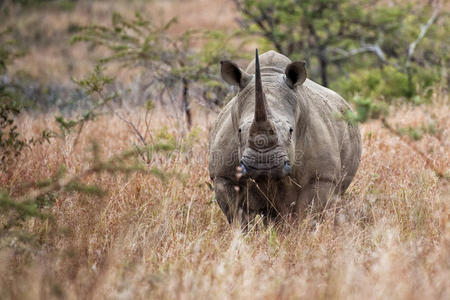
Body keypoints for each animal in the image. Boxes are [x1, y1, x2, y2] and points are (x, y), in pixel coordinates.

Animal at [208, 49, 362, 224]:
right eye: (239, 131)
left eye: (290, 131)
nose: (263, 165)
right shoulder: (223, 176)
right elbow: (237, 216)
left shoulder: (322, 177)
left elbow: (308, 213)